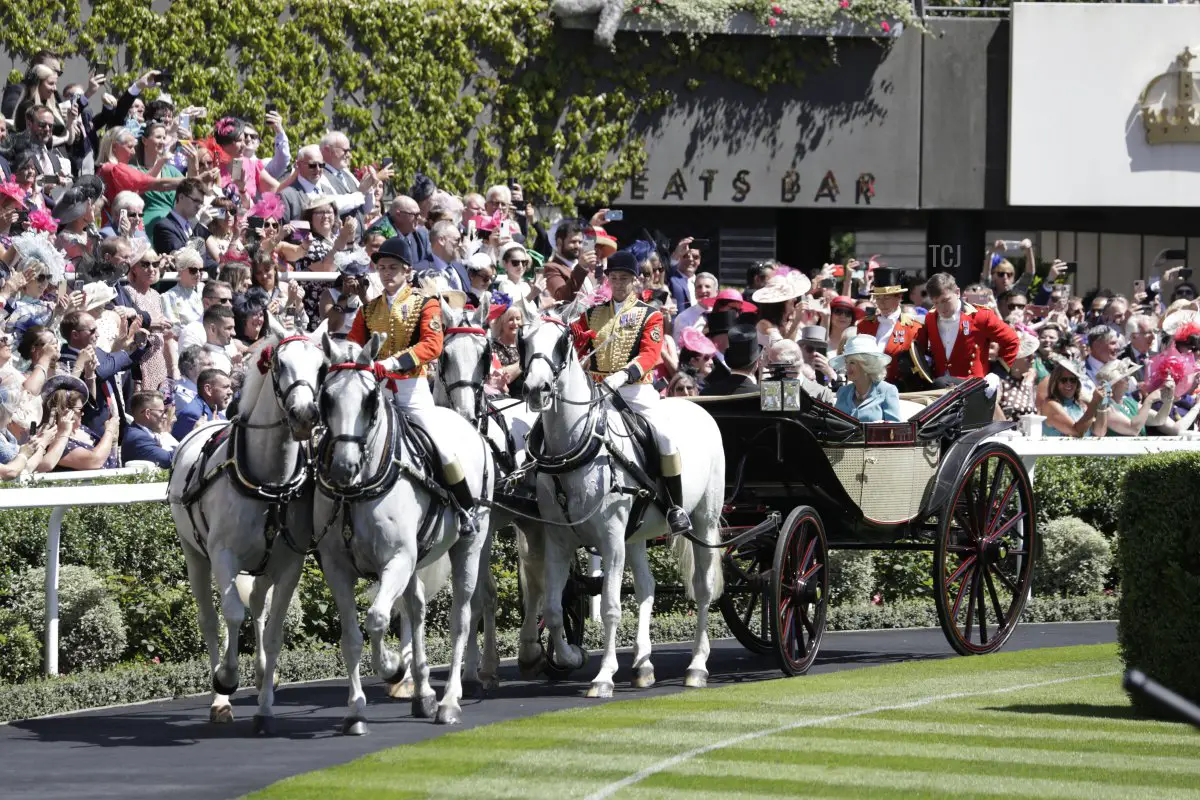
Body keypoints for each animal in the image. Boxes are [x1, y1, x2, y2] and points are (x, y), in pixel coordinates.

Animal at [169, 316, 326, 734]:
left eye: (322, 367)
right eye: (280, 364)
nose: (305, 414)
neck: (269, 483)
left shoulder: (289, 564)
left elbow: (272, 632)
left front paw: (266, 707)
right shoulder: (223, 554)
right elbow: (231, 614)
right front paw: (226, 679)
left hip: (264, 565)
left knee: (256, 605)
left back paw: (258, 675)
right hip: (195, 554)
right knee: (211, 618)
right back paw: (220, 697)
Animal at [314, 333, 496, 734]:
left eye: (369, 399)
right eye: (326, 396)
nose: (343, 466)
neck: (359, 488)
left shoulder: (396, 559)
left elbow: (377, 618)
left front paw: (392, 667)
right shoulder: (337, 568)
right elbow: (351, 637)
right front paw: (355, 712)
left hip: (468, 547)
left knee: (462, 617)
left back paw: (449, 700)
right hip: (418, 558)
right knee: (416, 609)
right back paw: (423, 693)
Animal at [436, 303, 552, 681]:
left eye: (484, 355)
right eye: (444, 355)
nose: (464, 413)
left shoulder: (483, 526)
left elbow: (478, 595)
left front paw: (478, 667)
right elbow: (477, 593)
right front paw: (477, 664)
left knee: (541, 582)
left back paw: (535, 649)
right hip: (526, 520)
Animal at [520, 307, 724, 695]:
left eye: (562, 341)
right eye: (523, 340)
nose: (537, 389)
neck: (577, 447)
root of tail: (699, 409)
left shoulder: (611, 541)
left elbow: (611, 608)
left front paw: (603, 676)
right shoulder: (559, 540)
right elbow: (552, 608)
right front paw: (571, 656)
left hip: (704, 521)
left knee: (703, 591)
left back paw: (697, 666)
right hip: (638, 534)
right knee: (647, 588)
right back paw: (643, 665)